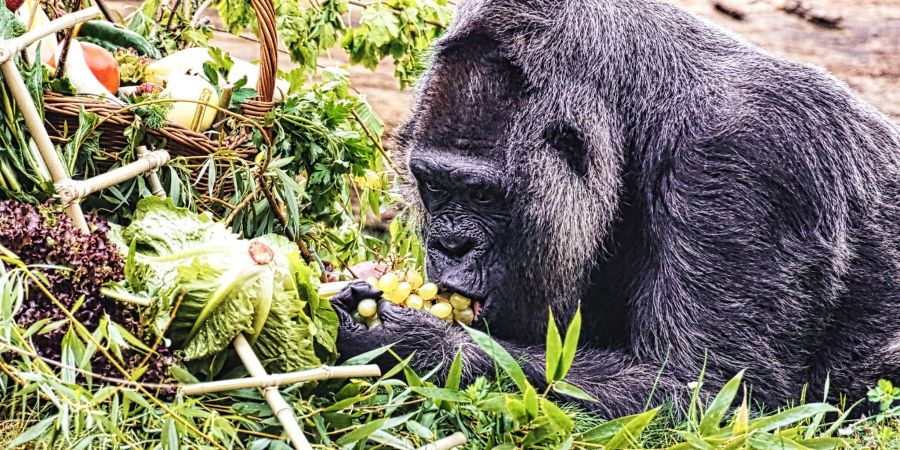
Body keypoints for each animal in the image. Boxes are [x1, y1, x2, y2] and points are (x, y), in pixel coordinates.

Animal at [328, 0, 900, 418]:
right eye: (435, 186)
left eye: (481, 195)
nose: (450, 245)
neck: (645, 111)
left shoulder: (747, 160)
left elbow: (712, 395)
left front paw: (415, 342)